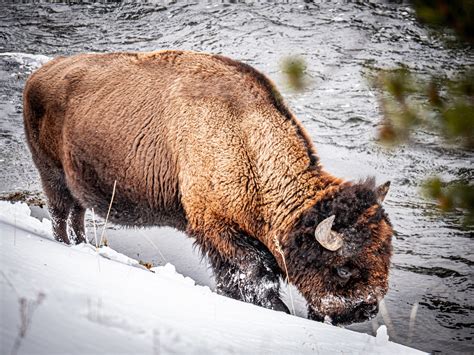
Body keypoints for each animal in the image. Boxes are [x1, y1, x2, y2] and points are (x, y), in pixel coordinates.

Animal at [23, 50, 392, 326]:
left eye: (385, 253)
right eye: (343, 267)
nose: (365, 310)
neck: (246, 141)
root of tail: (38, 77)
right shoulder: (217, 229)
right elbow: (254, 273)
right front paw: (275, 309)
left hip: (75, 185)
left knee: (76, 215)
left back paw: (82, 246)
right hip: (52, 175)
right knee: (60, 213)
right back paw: (68, 246)